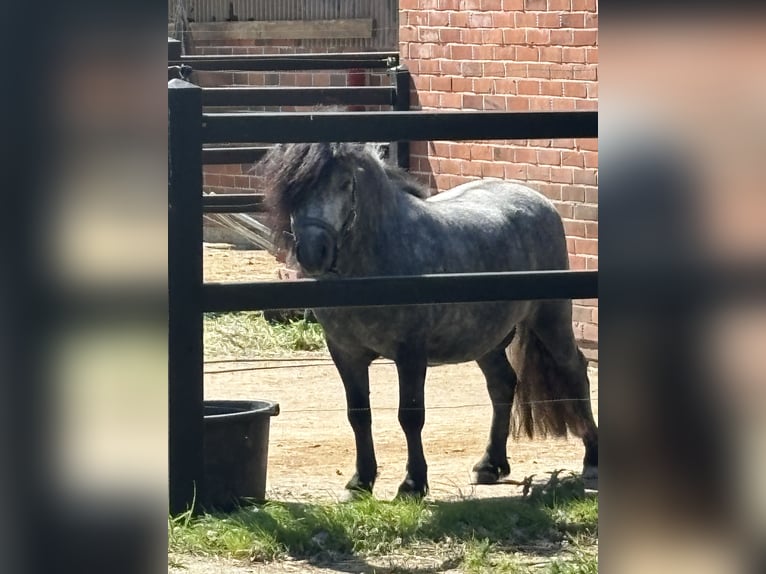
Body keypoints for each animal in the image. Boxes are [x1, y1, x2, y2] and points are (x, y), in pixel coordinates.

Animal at [262, 143, 600, 500]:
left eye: (344, 184)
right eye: (293, 190)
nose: (314, 253)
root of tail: (538, 200)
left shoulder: (410, 353)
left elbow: (410, 416)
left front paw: (412, 484)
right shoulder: (345, 353)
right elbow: (359, 415)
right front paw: (360, 482)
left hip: (550, 318)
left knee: (575, 372)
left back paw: (592, 460)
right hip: (485, 338)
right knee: (502, 384)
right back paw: (490, 465)